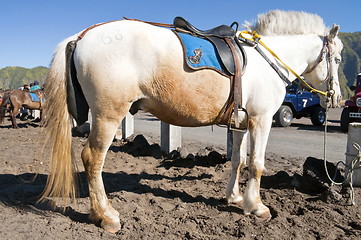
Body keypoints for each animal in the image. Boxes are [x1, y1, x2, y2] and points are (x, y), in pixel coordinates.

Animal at [40, 10, 342, 233]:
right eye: (338, 58)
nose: (336, 97)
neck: (265, 60)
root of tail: (81, 36)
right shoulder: (262, 119)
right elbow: (256, 165)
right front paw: (256, 206)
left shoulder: (241, 124)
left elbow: (238, 161)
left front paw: (234, 197)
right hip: (108, 116)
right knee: (92, 159)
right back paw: (105, 215)